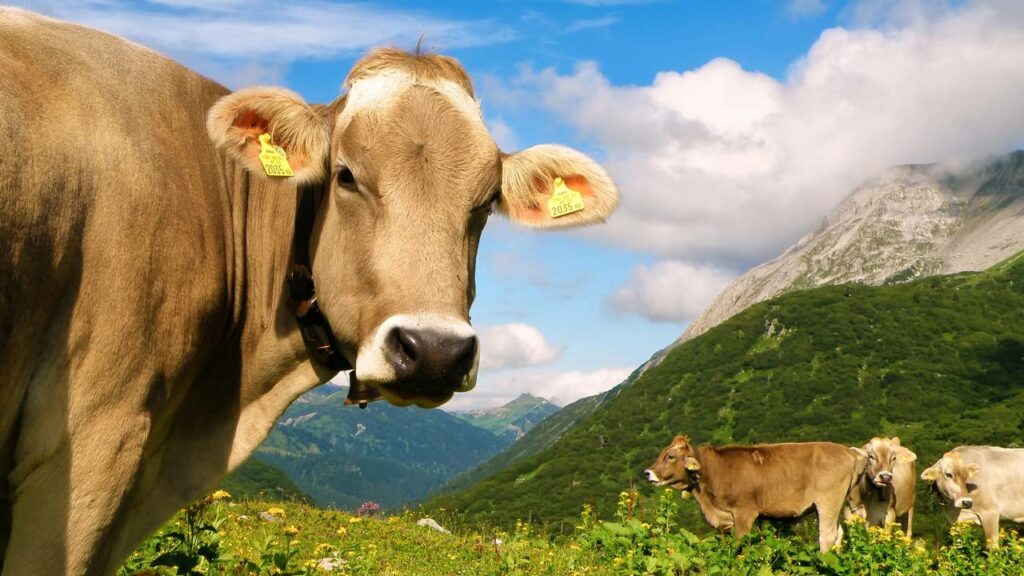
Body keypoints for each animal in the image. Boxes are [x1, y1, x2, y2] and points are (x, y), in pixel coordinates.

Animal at [644, 436, 867, 553]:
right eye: (662, 454)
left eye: (671, 456)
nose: (647, 472)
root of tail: (847, 451)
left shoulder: (744, 513)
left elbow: (740, 545)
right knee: (838, 535)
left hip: (828, 502)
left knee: (827, 537)